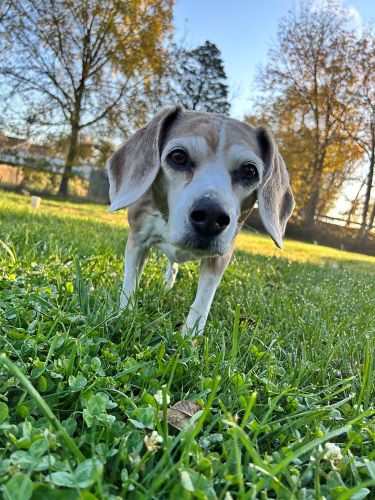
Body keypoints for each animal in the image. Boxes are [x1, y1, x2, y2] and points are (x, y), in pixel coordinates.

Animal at [107, 106, 296, 336]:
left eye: (249, 171)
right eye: (178, 156)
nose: (211, 216)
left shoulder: (221, 256)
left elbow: (203, 300)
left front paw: (190, 336)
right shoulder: (138, 239)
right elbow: (130, 283)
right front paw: (124, 314)